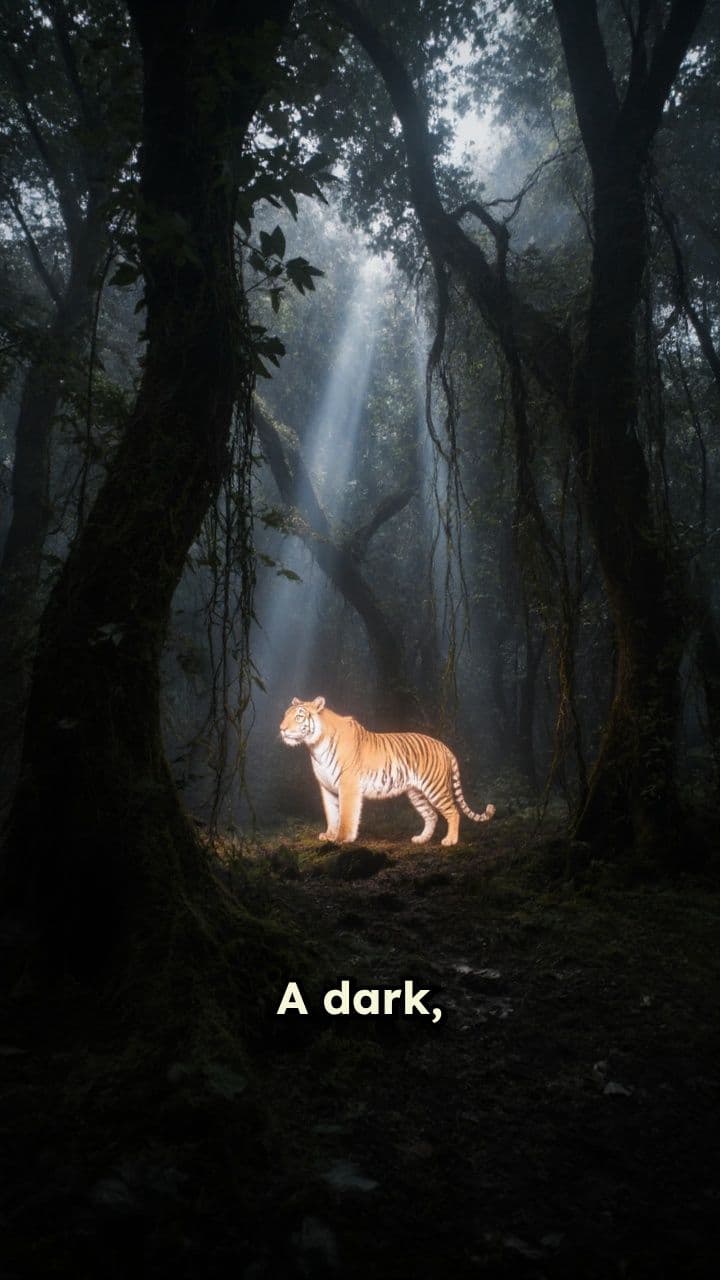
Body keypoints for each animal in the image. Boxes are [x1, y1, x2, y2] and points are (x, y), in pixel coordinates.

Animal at [280, 696, 495, 846]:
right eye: (285, 715)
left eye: (299, 716)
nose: (281, 729)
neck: (315, 747)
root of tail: (444, 746)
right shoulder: (326, 787)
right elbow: (332, 813)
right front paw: (329, 835)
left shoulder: (348, 785)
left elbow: (347, 815)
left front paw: (342, 838)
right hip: (416, 792)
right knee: (431, 815)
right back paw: (421, 839)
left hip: (436, 788)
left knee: (453, 812)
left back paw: (450, 841)